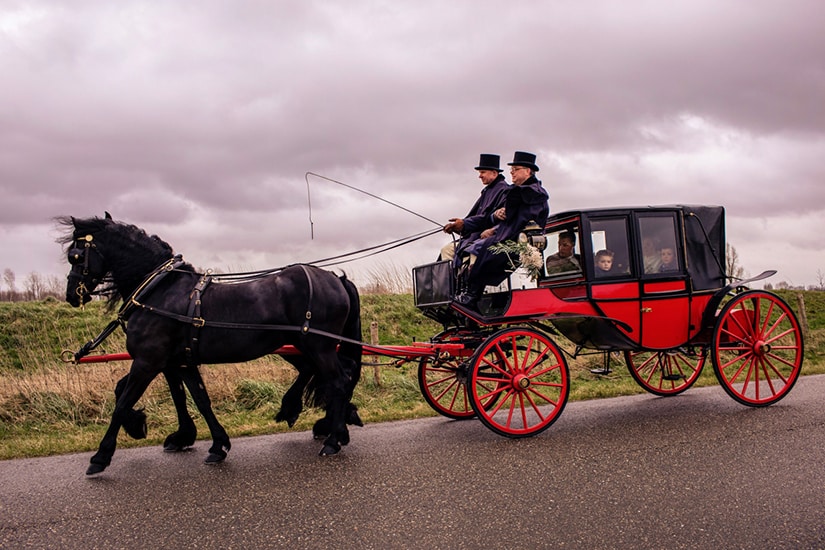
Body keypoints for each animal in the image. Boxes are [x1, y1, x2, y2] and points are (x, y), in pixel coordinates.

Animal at [58, 214, 363, 476]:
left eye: (75, 255)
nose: (71, 294)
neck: (158, 291)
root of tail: (336, 279)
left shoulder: (148, 361)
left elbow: (123, 401)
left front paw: (101, 456)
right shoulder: (178, 362)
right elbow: (197, 399)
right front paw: (213, 444)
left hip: (319, 347)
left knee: (338, 381)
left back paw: (332, 439)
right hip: (303, 346)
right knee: (329, 376)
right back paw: (323, 423)